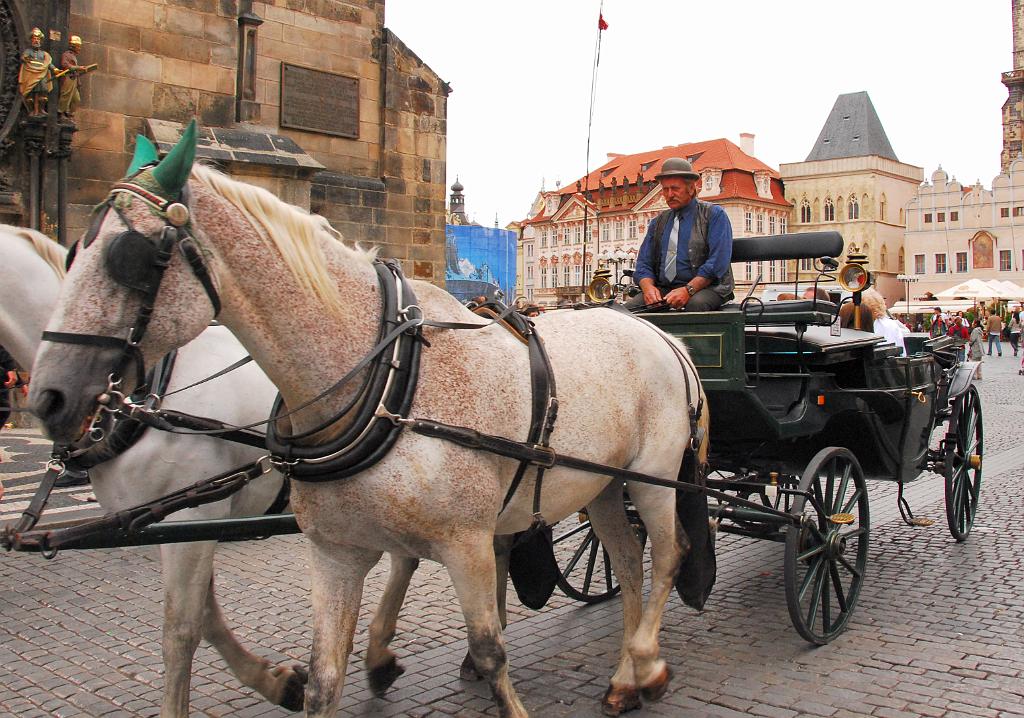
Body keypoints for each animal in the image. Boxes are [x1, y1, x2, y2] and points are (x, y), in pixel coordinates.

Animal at [29, 123, 708, 717]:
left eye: (131, 257)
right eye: (75, 251)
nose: (48, 397)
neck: (388, 383)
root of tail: (659, 334)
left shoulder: (466, 543)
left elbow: (491, 650)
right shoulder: (336, 551)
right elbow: (324, 675)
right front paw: (309, 679)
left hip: (651, 478)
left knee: (669, 552)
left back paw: (647, 661)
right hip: (601, 484)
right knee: (626, 558)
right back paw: (623, 678)